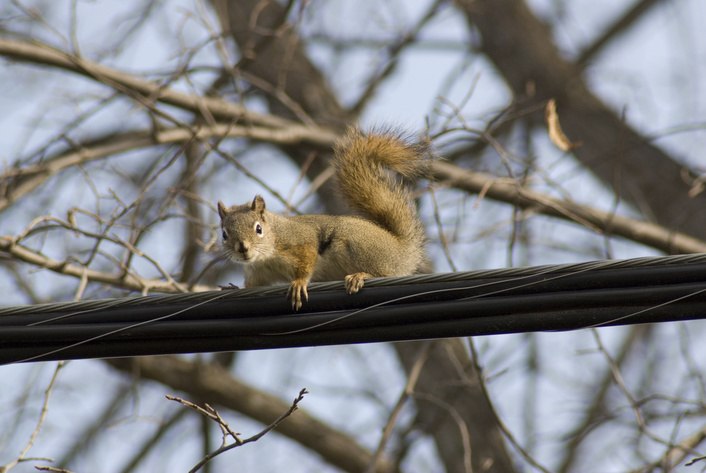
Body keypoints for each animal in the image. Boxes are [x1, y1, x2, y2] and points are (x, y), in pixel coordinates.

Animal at [217, 128, 428, 310]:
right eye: (224, 235)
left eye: (258, 229)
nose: (243, 248)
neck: (267, 253)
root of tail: (404, 252)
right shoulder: (259, 273)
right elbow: (251, 286)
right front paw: (235, 288)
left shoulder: (301, 241)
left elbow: (306, 261)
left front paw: (299, 283)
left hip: (358, 246)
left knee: (382, 273)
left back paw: (360, 276)